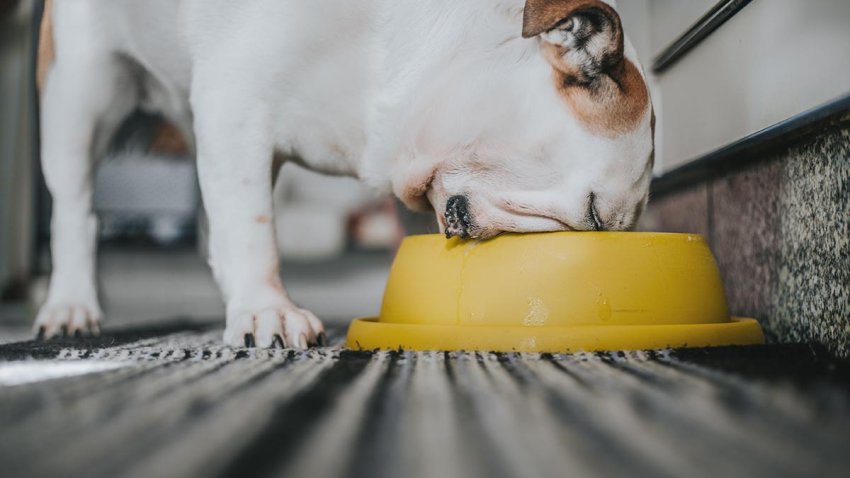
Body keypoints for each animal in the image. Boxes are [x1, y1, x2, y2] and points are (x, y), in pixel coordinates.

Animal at [33, 0, 652, 350]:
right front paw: (266, 310)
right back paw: (69, 307)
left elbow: (239, 223)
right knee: (73, 210)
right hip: (77, 89)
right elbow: (255, 228)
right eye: (595, 214)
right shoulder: (236, 106)